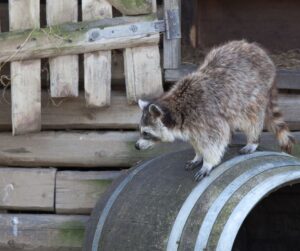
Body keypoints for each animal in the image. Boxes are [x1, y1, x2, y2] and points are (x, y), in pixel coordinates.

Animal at [135, 39, 294, 180]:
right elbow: (196, 140)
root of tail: (261, 52)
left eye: (146, 133)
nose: (136, 146)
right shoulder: (192, 125)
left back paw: (253, 140)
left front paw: (208, 163)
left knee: (251, 119)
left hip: (254, 93)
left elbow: (214, 140)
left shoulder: (206, 116)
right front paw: (198, 155)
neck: (176, 108)